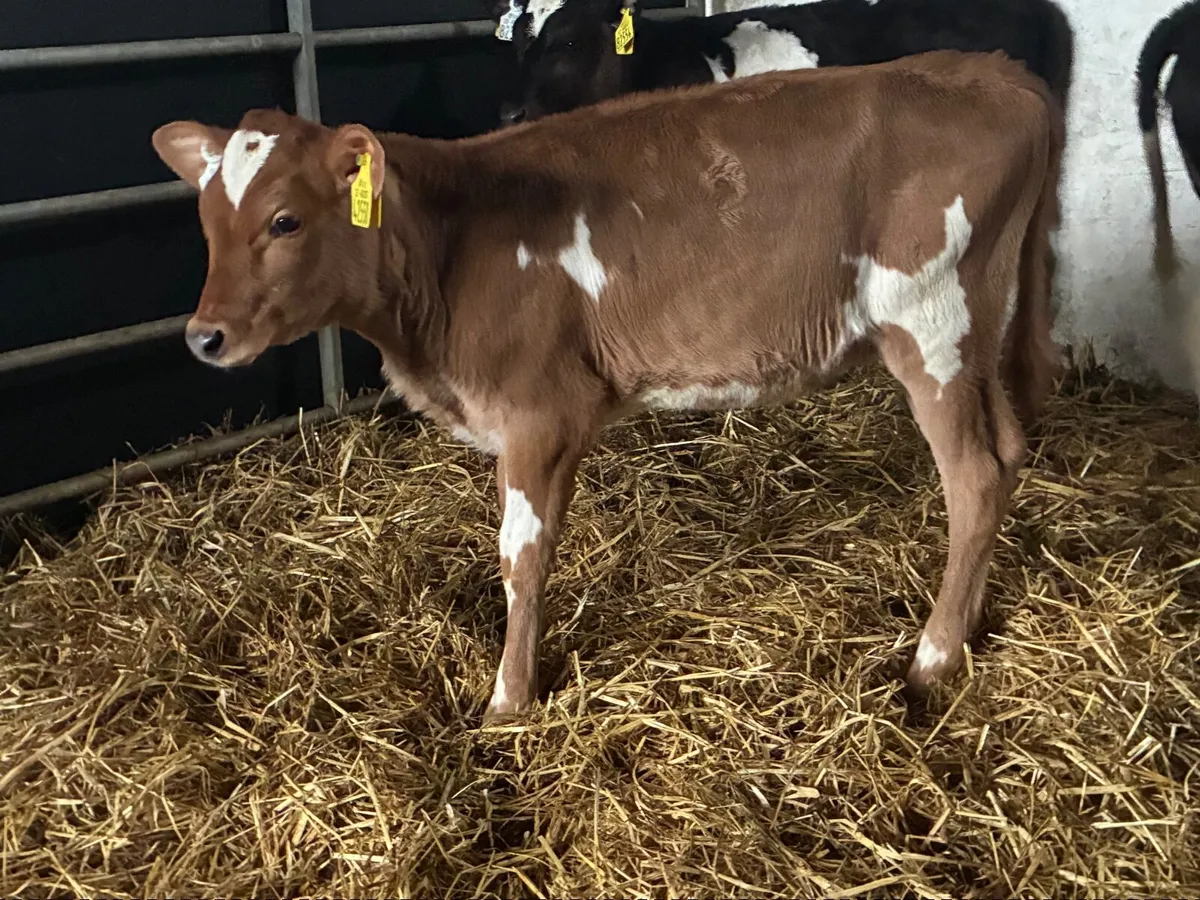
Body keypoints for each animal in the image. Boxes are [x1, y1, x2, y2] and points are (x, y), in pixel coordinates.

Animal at [150, 49, 1064, 723]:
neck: (452, 241)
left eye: (285, 220)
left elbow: (521, 557)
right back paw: (971, 626)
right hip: (977, 334)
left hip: (931, 324)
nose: (204, 336)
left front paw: (508, 701)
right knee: (1010, 452)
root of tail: (994, 71)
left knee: (975, 478)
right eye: (205, 221)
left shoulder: (540, 413)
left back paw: (932, 659)